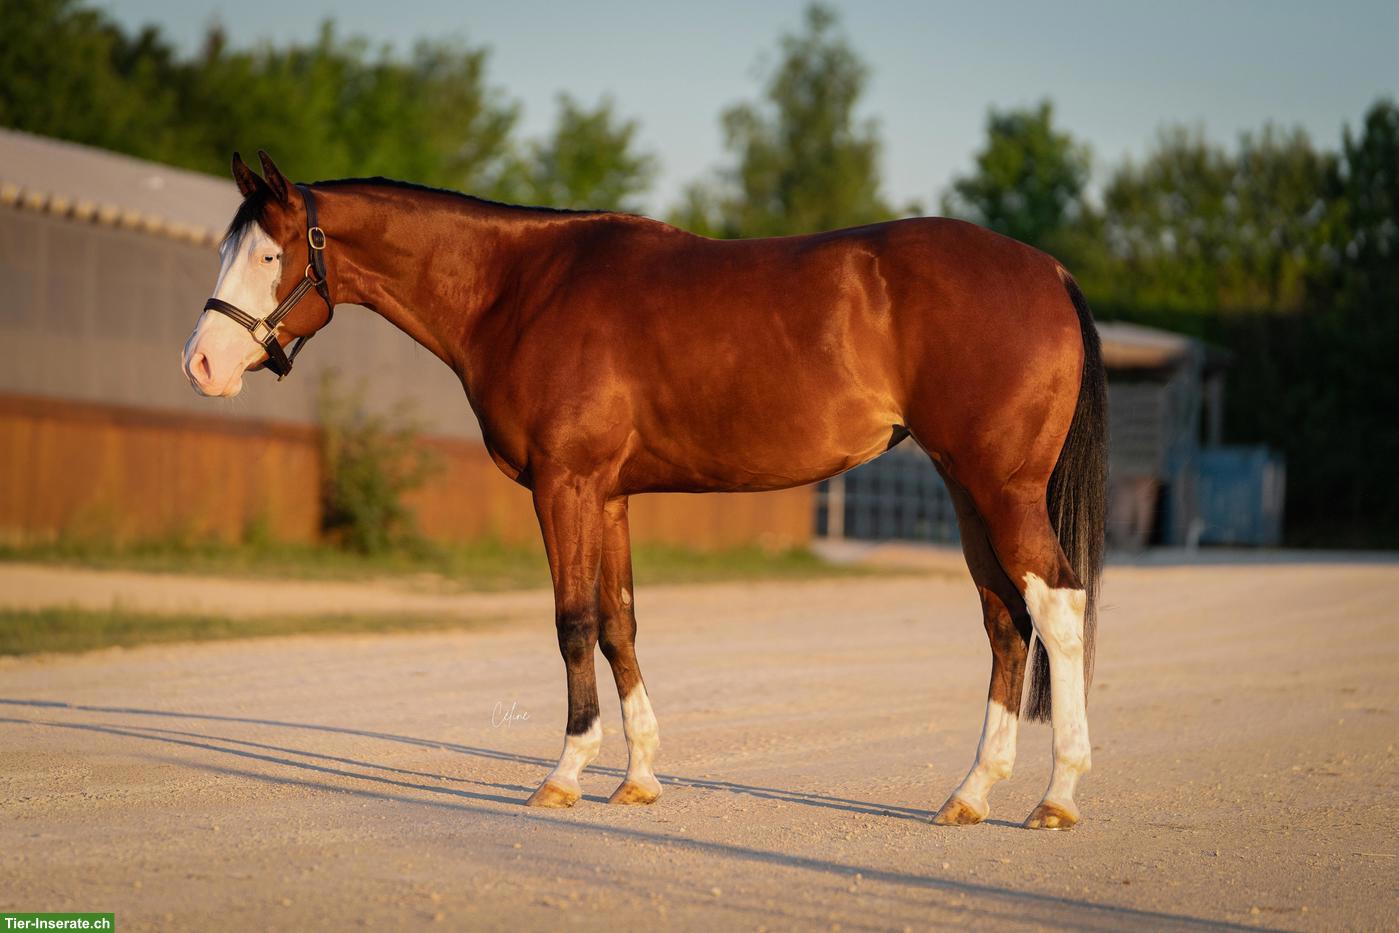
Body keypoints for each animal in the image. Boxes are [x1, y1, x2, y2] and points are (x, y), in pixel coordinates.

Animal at [182, 151, 1107, 830]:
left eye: (269, 254)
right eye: (228, 251)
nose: (201, 364)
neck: (519, 288)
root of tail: (1050, 271)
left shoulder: (564, 485)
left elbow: (572, 623)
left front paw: (564, 773)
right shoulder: (610, 496)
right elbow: (619, 621)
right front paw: (639, 776)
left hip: (999, 486)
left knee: (1056, 604)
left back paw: (1058, 796)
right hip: (966, 488)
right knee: (1003, 620)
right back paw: (971, 793)